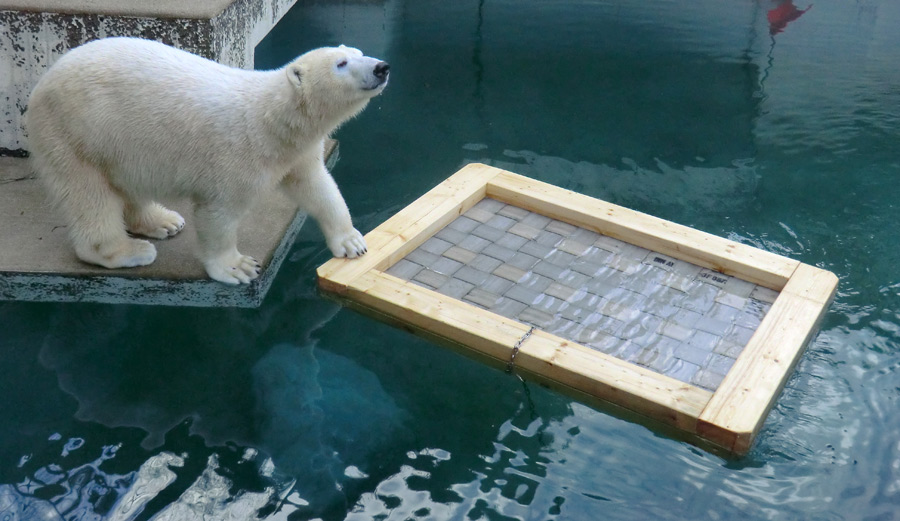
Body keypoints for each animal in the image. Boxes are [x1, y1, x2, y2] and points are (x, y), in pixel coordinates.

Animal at [25, 37, 386, 284]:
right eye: (341, 64)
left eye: (358, 53)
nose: (381, 67)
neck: (270, 120)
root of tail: (43, 80)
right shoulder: (236, 155)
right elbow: (219, 213)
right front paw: (237, 267)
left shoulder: (297, 152)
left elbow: (317, 187)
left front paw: (351, 241)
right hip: (74, 132)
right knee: (88, 194)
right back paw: (130, 251)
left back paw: (163, 221)